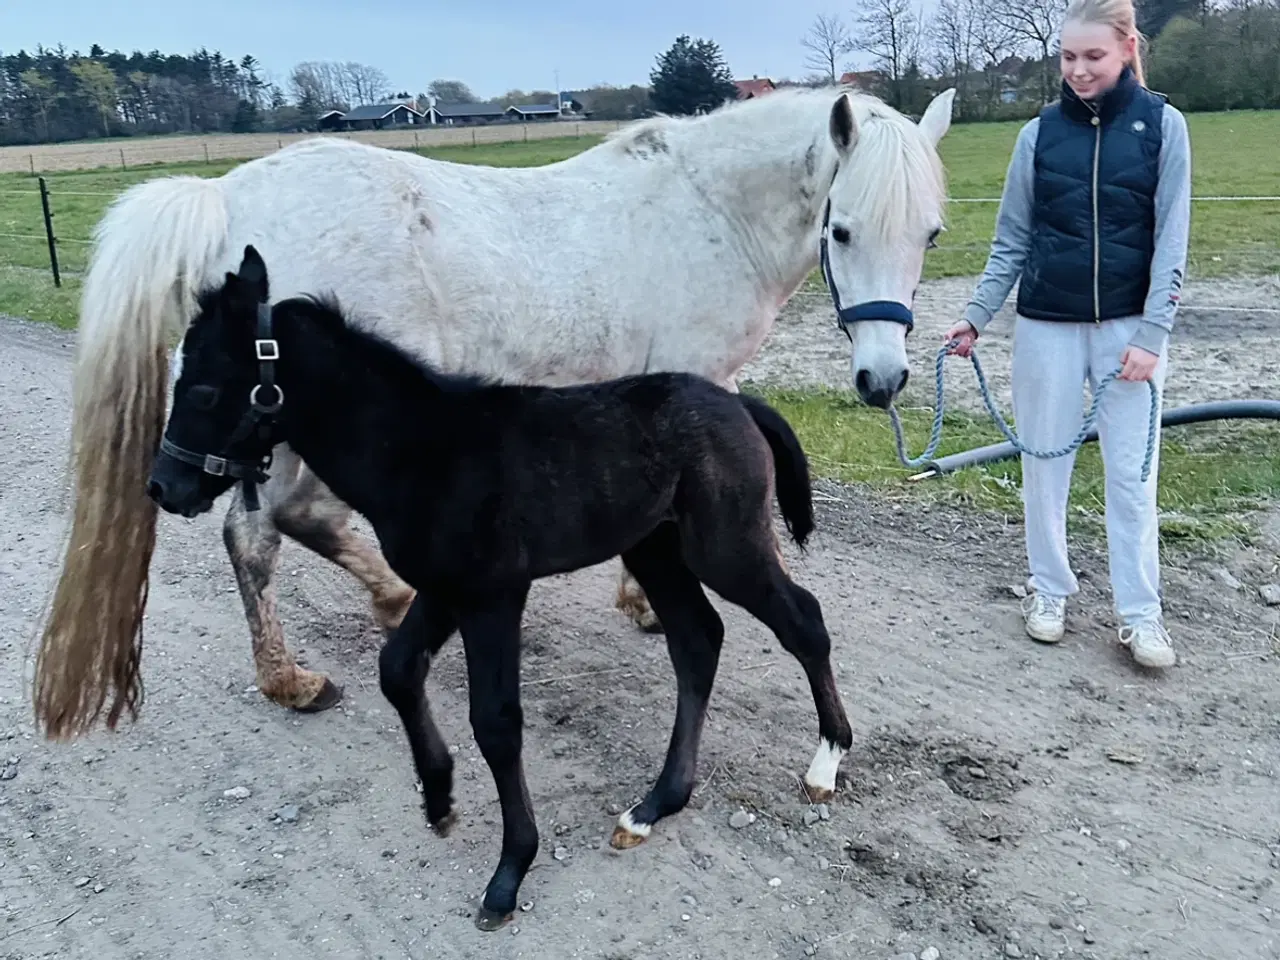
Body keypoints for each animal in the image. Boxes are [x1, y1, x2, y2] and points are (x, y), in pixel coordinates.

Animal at [30, 86, 957, 742]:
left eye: (932, 235)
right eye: (842, 230)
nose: (883, 379)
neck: (706, 211)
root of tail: (225, 194)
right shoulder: (690, 381)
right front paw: (644, 602)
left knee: (255, 535)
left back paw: (301, 668)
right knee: (283, 523)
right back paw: (360, 624)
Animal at [147, 245, 849, 931]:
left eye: (204, 389)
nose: (164, 487)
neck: (423, 452)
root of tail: (741, 405)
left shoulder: (494, 594)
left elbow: (496, 720)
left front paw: (509, 873)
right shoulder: (443, 589)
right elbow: (397, 670)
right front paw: (440, 799)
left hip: (723, 548)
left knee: (803, 621)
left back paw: (825, 765)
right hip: (655, 551)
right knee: (699, 639)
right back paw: (652, 807)